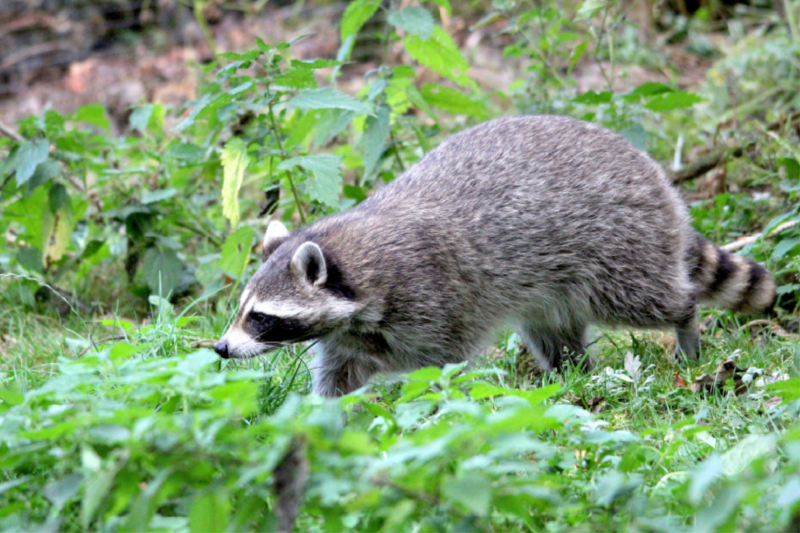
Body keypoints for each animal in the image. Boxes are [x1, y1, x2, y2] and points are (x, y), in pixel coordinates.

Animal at [212, 115, 776, 394]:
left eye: (261, 317)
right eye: (239, 310)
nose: (220, 349)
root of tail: (651, 171)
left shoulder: (431, 299)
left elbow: (444, 371)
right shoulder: (350, 338)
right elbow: (336, 383)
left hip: (616, 244)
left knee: (648, 299)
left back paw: (685, 323)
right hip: (553, 286)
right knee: (555, 334)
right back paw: (571, 377)